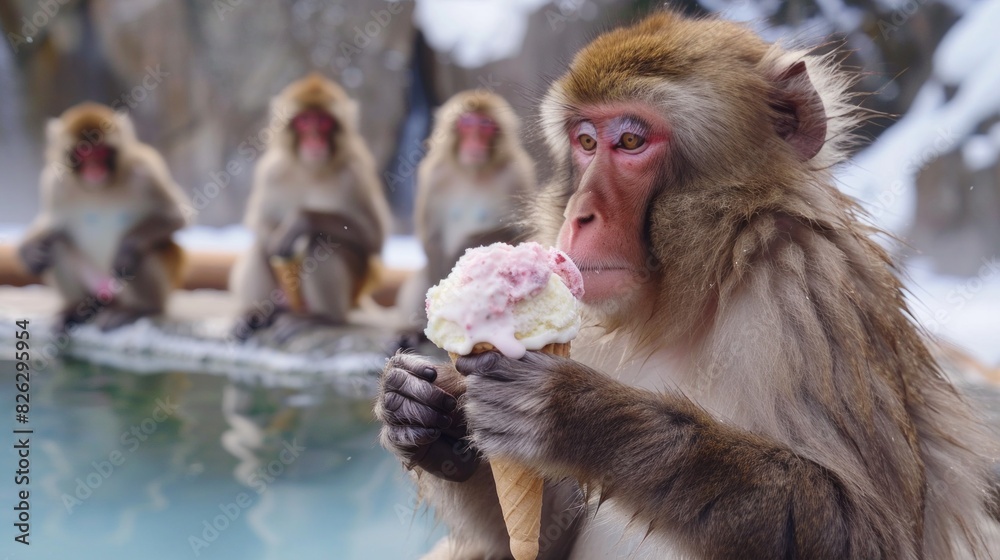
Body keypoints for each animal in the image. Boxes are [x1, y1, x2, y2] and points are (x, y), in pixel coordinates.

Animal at [17, 102, 189, 332]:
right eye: (83, 151)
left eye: (101, 151)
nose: (94, 168)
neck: (101, 187)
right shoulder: (54, 184)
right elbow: (52, 224)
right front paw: (28, 250)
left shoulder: (147, 171)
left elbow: (175, 216)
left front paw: (126, 249)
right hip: (93, 286)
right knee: (56, 244)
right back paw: (74, 308)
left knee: (140, 256)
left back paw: (135, 309)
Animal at [229, 73, 391, 342]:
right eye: (304, 122)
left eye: (324, 122)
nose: (314, 138)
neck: (310, 169)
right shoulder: (270, 172)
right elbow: (259, 223)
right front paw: (276, 238)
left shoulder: (355, 174)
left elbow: (372, 239)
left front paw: (300, 221)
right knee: (261, 247)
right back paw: (257, 314)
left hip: (348, 296)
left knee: (319, 241)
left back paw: (322, 318)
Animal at [397, 91, 536, 336]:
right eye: (467, 125)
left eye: (485, 126)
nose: (475, 142)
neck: (473, 172)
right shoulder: (434, 176)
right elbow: (433, 240)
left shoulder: (517, 175)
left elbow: (520, 234)